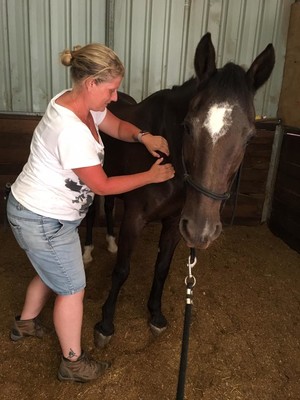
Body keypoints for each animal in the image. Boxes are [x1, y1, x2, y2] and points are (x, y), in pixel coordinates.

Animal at [91, 33, 274, 346]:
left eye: (250, 137)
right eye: (188, 126)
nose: (201, 231)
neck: (168, 157)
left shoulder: (175, 222)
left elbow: (162, 268)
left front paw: (155, 315)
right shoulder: (135, 217)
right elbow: (122, 270)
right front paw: (105, 323)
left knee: (110, 203)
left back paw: (111, 243)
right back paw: (88, 251)